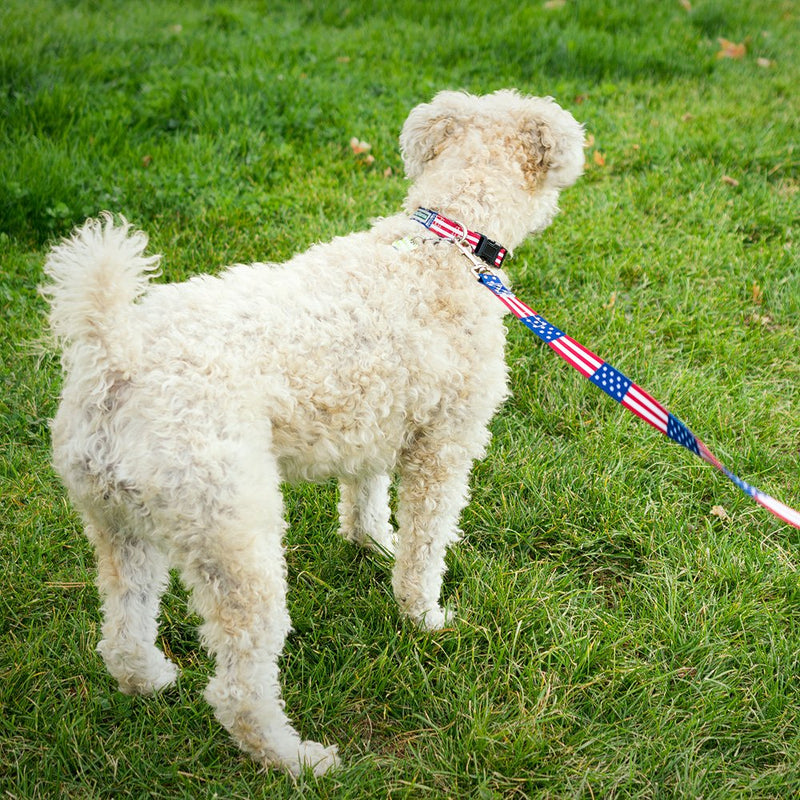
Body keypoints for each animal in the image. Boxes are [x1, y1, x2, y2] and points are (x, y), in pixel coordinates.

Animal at [42, 90, 580, 780]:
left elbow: (365, 495)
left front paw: (370, 541)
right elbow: (425, 546)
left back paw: (153, 679)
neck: (444, 244)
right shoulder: (444, 445)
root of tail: (116, 358)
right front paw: (425, 617)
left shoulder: (374, 421)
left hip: (117, 521)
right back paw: (298, 759)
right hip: (234, 535)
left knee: (121, 632)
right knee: (238, 686)